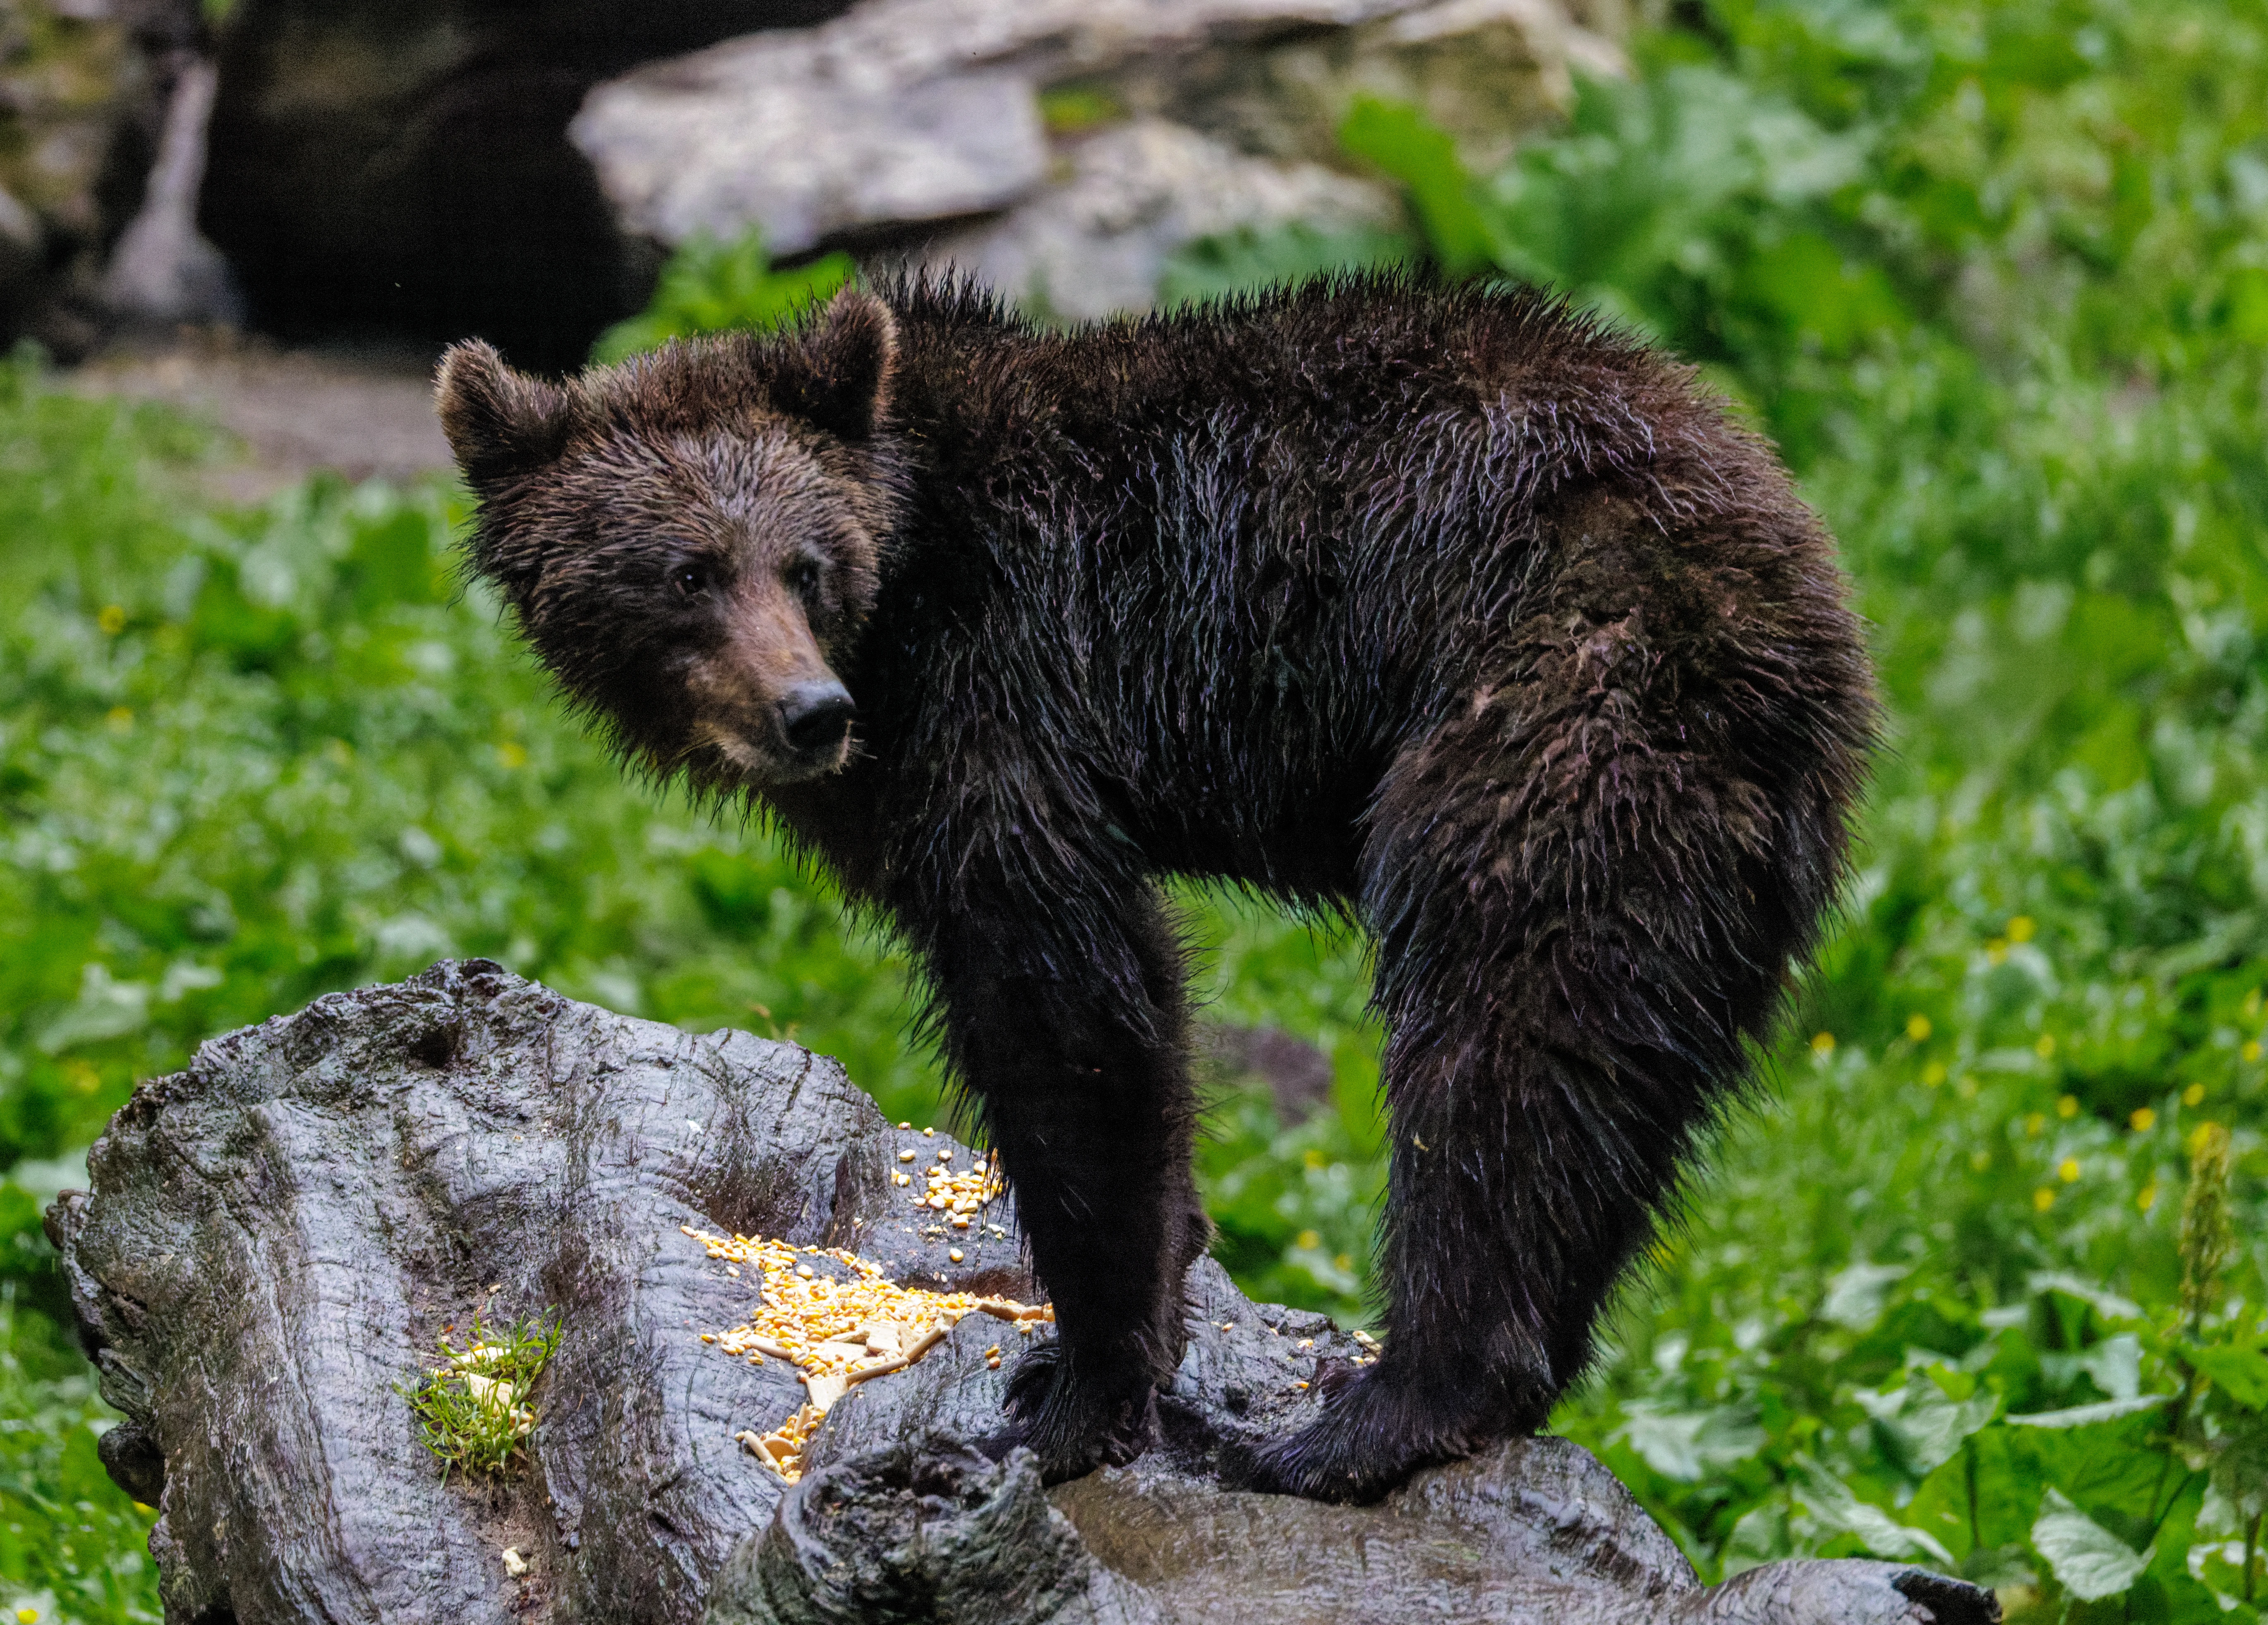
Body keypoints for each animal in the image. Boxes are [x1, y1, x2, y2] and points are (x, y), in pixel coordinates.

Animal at [435, 273, 1875, 1503]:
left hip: (1554, 721)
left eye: (804, 561)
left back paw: (1361, 1417)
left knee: (1502, 1042)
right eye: (685, 572)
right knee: (1612, 1082)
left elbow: (1069, 1004)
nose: (807, 712)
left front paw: (1073, 1391)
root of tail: (1803, 584)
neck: (904, 601)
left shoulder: (1006, 692)